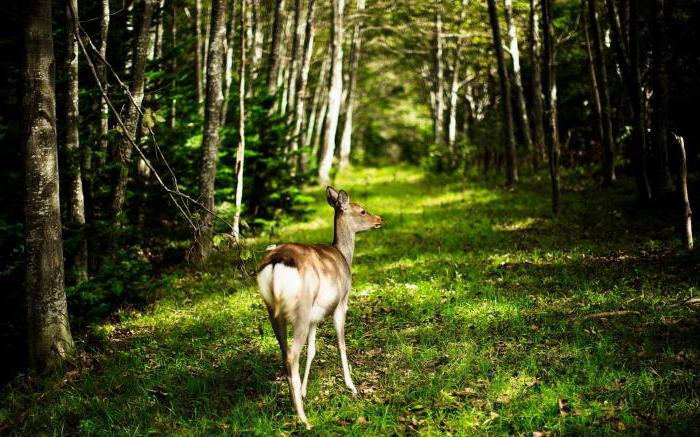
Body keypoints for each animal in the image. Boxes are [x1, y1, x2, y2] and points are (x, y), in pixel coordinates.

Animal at [256, 186, 382, 428]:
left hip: (273, 311)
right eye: (362, 210)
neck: (344, 256)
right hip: (301, 310)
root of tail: (276, 263)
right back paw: (304, 419)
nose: (379, 219)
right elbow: (341, 343)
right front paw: (351, 386)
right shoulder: (341, 301)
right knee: (292, 355)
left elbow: (313, 350)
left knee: (285, 354)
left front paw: (305, 391)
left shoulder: (316, 316)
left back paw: (295, 402)